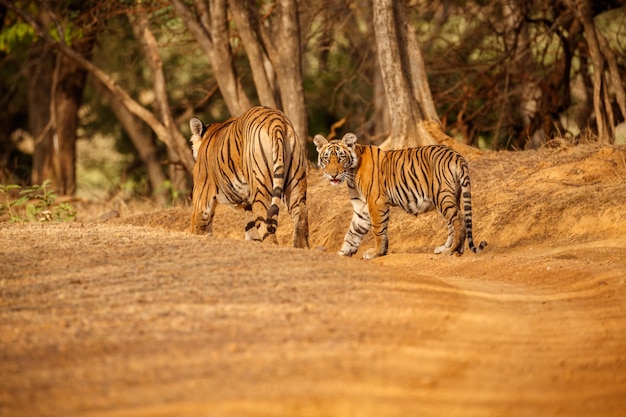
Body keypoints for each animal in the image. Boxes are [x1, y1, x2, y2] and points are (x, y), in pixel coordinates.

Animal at [189, 105, 308, 247]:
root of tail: (276, 121)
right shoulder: (247, 204)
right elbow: (251, 231)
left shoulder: (201, 201)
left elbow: (198, 228)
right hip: (296, 184)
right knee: (301, 217)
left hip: (261, 186)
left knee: (265, 224)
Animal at [314, 132, 486, 256]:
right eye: (327, 159)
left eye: (341, 158)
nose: (333, 175)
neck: (351, 173)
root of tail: (456, 155)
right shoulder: (361, 207)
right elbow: (352, 233)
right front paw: (342, 253)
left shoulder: (376, 202)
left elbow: (378, 230)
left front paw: (376, 253)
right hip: (450, 196)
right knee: (453, 222)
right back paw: (448, 248)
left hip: (441, 195)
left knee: (459, 219)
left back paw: (451, 251)